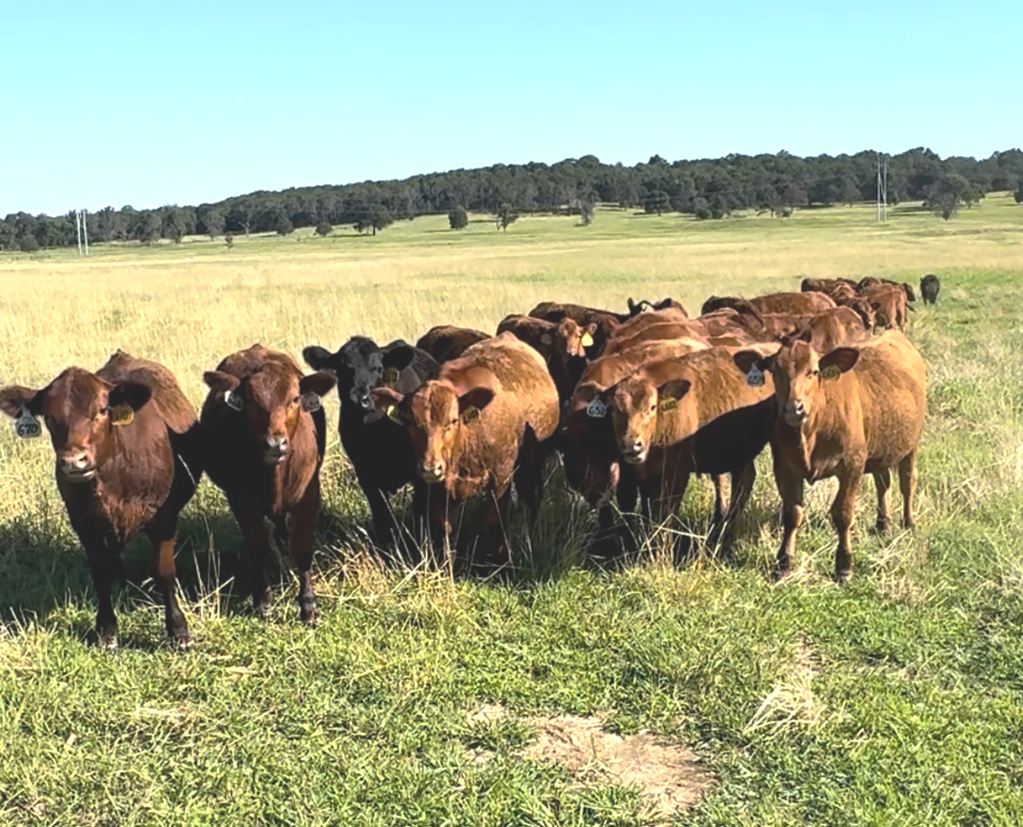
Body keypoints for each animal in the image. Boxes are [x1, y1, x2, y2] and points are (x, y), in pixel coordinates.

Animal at [0, 347, 201, 646]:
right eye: (48, 416)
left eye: (101, 410)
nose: (74, 461)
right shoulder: (84, 522)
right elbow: (101, 573)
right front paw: (107, 631)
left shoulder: (164, 517)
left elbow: (164, 571)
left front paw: (178, 630)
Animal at [201, 345, 337, 622]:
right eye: (251, 401)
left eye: (294, 399)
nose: (275, 444)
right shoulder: (241, 501)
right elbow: (257, 547)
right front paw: (263, 601)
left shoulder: (309, 495)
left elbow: (303, 549)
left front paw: (308, 604)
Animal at [298, 333, 435, 544]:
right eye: (341, 369)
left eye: (378, 368)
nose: (358, 399)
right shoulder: (366, 475)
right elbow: (383, 519)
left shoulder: (420, 473)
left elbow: (421, 515)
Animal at [370, 333, 560, 560]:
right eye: (411, 423)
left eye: (452, 421)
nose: (430, 468)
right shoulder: (436, 487)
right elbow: (442, 527)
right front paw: (445, 562)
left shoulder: (501, 478)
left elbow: (496, 523)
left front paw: (503, 561)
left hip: (531, 461)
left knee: (531, 496)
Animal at [732, 329, 924, 581]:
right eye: (774, 370)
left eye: (814, 371)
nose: (794, 408)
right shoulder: (784, 467)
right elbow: (792, 514)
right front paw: (783, 563)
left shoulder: (853, 465)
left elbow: (843, 514)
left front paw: (844, 565)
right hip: (881, 448)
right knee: (883, 484)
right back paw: (883, 524)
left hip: (911, 445)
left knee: (907, 483)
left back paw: (909, 523)